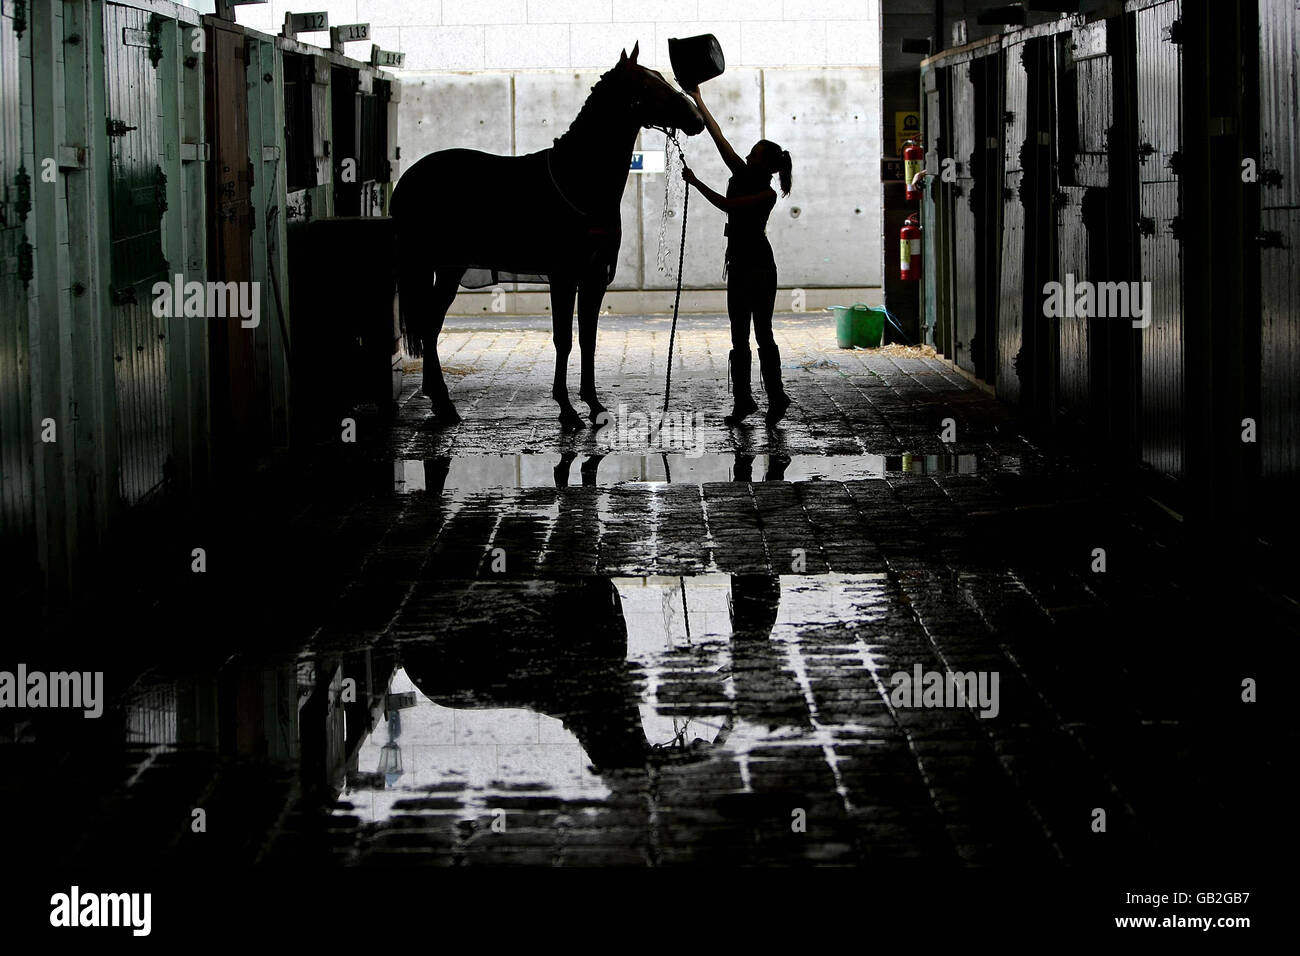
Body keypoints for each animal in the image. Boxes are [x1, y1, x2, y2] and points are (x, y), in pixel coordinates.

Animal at [390, 44, 707, 426]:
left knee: (431, 325)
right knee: (430, 326)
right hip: (442, 267)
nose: (697, 119)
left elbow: (588, 339)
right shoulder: (564, 276)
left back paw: (440, 403)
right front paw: (567, 410)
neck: (579, 179)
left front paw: (594, 404)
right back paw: (444, 403)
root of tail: (409, 178)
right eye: (647, 84)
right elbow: (563, 339)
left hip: (445, 269)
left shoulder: (593, 278)